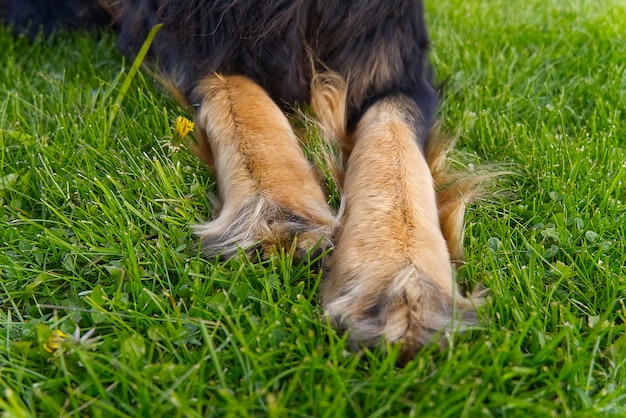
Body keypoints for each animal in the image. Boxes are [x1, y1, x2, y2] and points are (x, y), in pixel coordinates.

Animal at [1, 0, 482, 362]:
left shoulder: (393, 57)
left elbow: (394, 143)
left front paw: (402, 280)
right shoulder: (192, 38)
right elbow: (238, 93)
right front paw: (275, 208)